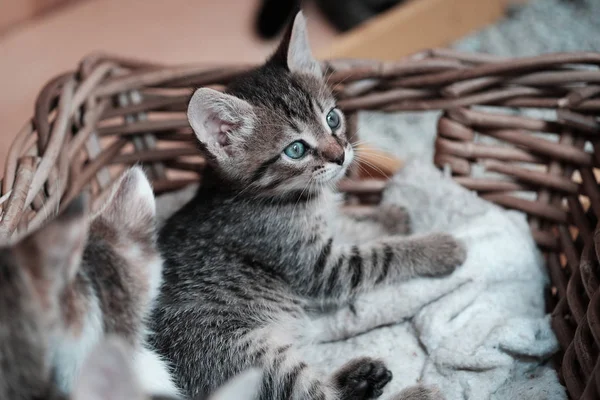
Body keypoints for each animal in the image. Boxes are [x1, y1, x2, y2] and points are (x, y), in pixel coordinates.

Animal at [152, 11, 466, 400]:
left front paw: (390, 216)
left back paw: (362, 378)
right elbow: (380, 255)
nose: (340, 155)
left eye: (332, 119)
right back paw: (416, 393)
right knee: (312, 395)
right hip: (247, 357)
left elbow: (351, 226)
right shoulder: (316, 264)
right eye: (296, 149)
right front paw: (438, 247)